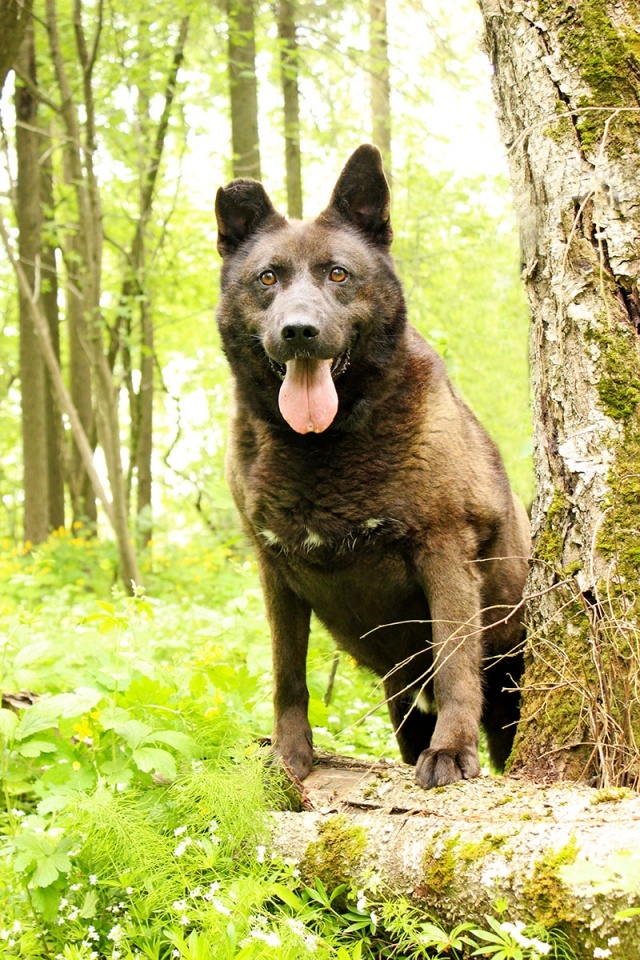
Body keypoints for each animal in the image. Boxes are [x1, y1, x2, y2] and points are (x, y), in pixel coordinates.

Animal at [215, 142, 528, 788]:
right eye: (267, 278)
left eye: (339, 274)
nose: (299, 331)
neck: (324, 444)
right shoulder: (273, 570)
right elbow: (287, 676)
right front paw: (288, 756)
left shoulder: (445, 553)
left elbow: (455, 663)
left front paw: (451, 751)